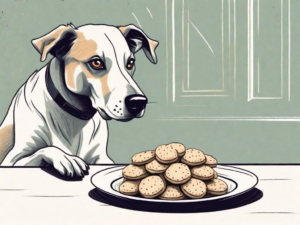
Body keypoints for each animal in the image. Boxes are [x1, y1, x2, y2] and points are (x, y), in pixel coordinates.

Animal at [0, 22, 159, 177]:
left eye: (130, 63)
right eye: (96, 62)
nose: (138, 102)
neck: (75, 118)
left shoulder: (101, 157)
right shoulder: (12, 160)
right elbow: (46, 149)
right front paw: (67, 159)